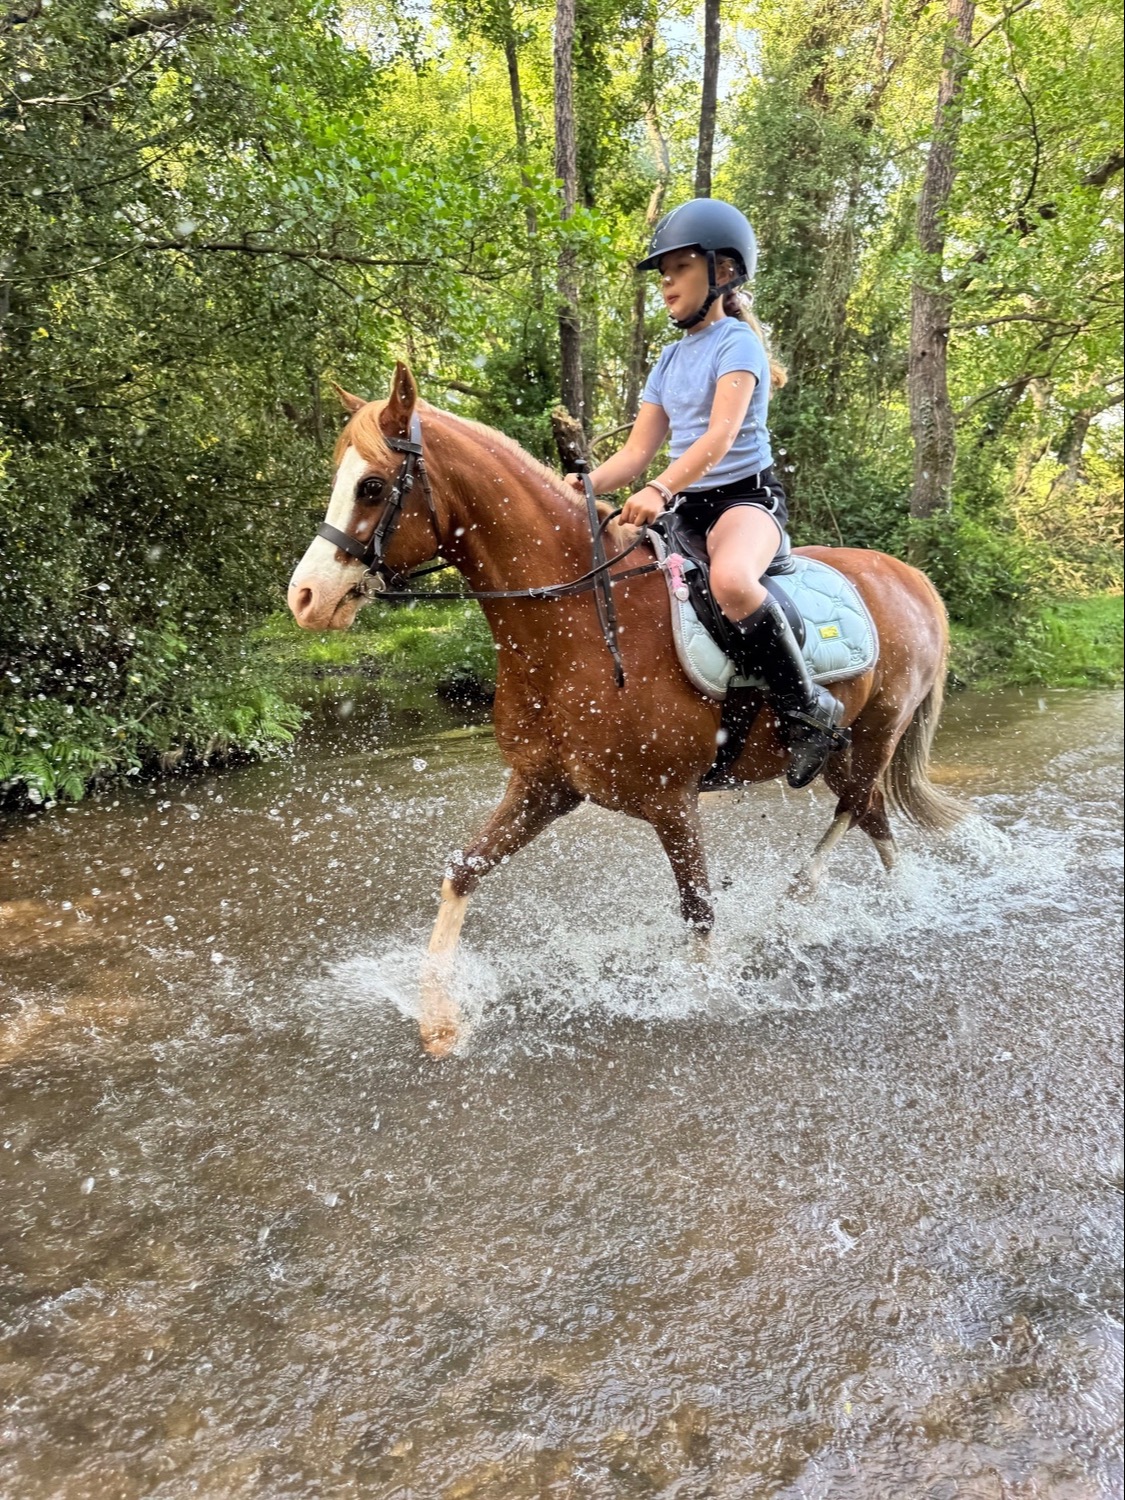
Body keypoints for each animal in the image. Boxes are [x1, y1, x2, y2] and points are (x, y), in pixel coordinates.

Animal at [288, 364, 963, 1056]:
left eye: (371, 486)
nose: (305, 597)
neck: (575, 624)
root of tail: (909, 577)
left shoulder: (672, 800)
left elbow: (698, 911)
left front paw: (710, 1001)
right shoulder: (543, 786)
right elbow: (463, 872)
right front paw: (439, 1020)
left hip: (874, 734)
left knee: (855, 810)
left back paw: (806, 900)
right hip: (839, 751)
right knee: (873, 816)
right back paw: (883, 905)